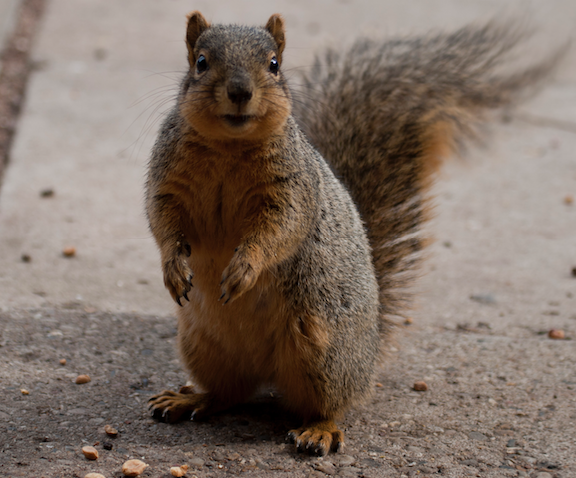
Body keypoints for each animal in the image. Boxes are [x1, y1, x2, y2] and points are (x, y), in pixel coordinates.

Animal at [146, 12, 560, 456]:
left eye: (274, 65)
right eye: (201, 62)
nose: (240, 91)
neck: (229, 145)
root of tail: (371, 347)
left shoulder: (293, 190)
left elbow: (281, 230)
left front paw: (245, 268)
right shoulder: (168, 181)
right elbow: (162, 221)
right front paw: (173, 269)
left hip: (323, 352)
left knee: (330, 404)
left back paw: (319, 430)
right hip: (203, 346)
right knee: (229, 392)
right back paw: (191, 398)